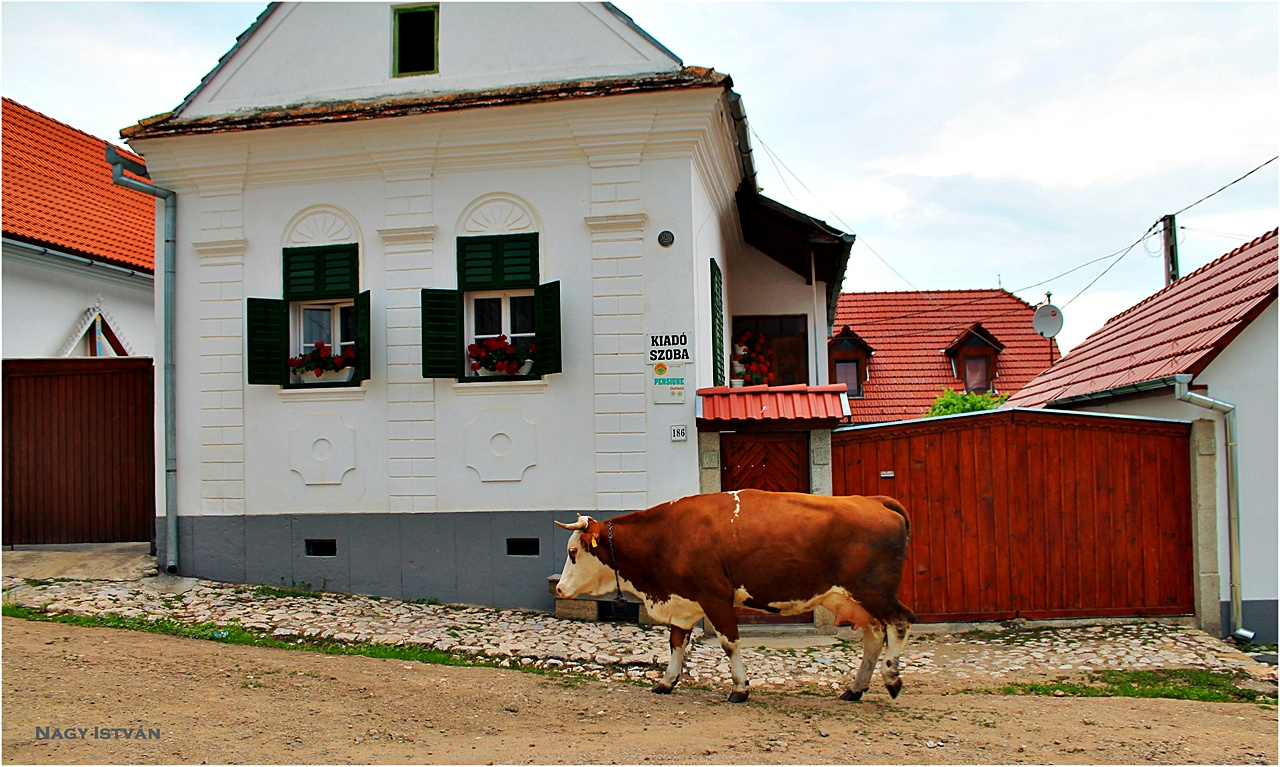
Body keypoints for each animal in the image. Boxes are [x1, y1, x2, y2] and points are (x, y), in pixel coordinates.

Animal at [555, 491, 916, 701]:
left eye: (572, 552)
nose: (559, 588)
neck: (670, 534)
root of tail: (875, 500)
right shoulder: (684, 602)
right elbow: (676, 643)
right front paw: (667, 681)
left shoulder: (715, 596)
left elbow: (729, 643)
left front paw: (740, 688)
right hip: (853, 599)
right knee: (874, 636)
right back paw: (855, 688)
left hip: (875, 592)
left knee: (900, 622)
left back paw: (891, 678)